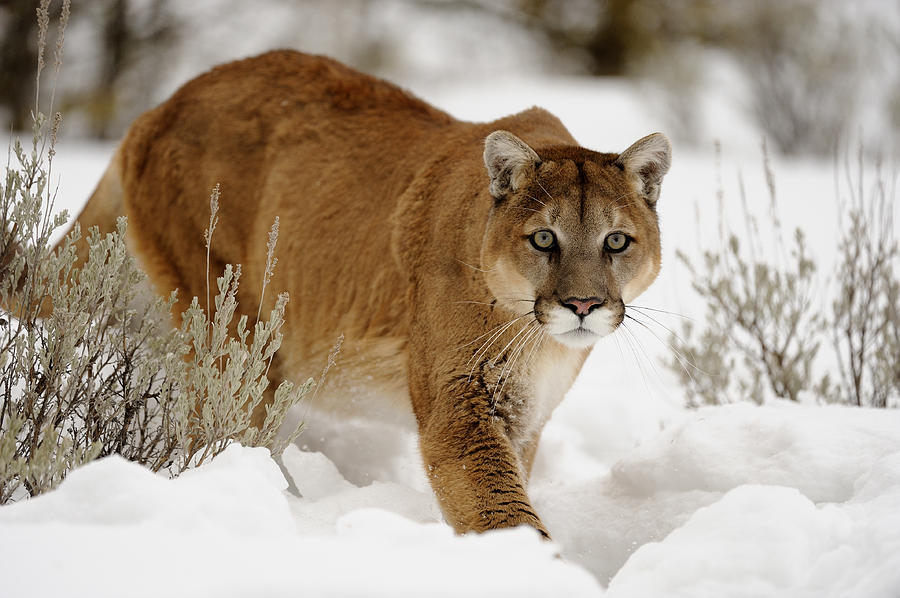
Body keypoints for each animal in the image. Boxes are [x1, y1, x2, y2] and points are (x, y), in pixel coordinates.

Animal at [68, 51, 668, 540]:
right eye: (544, 238)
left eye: (616, 240)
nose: (583, 306)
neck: (539, 342)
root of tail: (160, 106)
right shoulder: (462, 408)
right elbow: (502, 512)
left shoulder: (523, 418)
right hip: (233, 336)